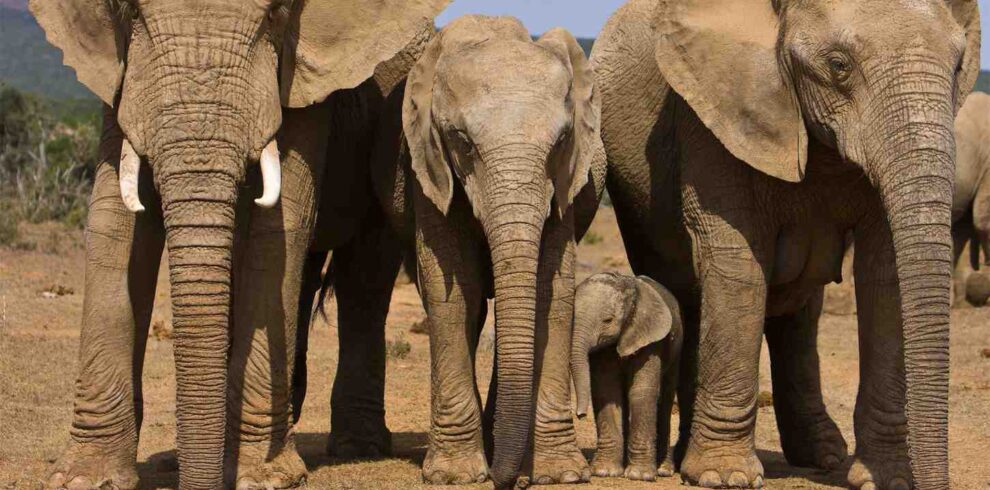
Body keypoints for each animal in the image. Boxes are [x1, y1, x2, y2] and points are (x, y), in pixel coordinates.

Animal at [30, 0, 449, 488]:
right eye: (129, 13)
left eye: (276, 14)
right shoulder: (120, 78)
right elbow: (113, 224)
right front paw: (83, 478)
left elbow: (277, 230)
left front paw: (259, 476)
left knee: (362, 282)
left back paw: (357, 447)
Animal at [370, 15, 607, 488]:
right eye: (462, 140)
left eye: (562, 140)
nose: (508, 480)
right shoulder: (429, 170)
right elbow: (455, 291)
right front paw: (455, 474)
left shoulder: (565, 185)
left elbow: (553, 290)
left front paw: (559, 473)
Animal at [569, 273, 682, 482]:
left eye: (607, 320)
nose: (580, 415)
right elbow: (608, 392)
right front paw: (605, 472)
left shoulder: (650, 339)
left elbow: (641, 392)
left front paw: (640, 476)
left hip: (676, 350)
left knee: (666, 398)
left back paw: (664, 469)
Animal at [592, 0, 981, 488]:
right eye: (838, 66)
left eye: (957, 66)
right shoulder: (711, 117)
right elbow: (737, 266)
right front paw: (724, 476)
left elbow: (885, 270)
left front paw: (887, 479)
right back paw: (683, 460)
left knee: (799, 314)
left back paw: (823, 456)